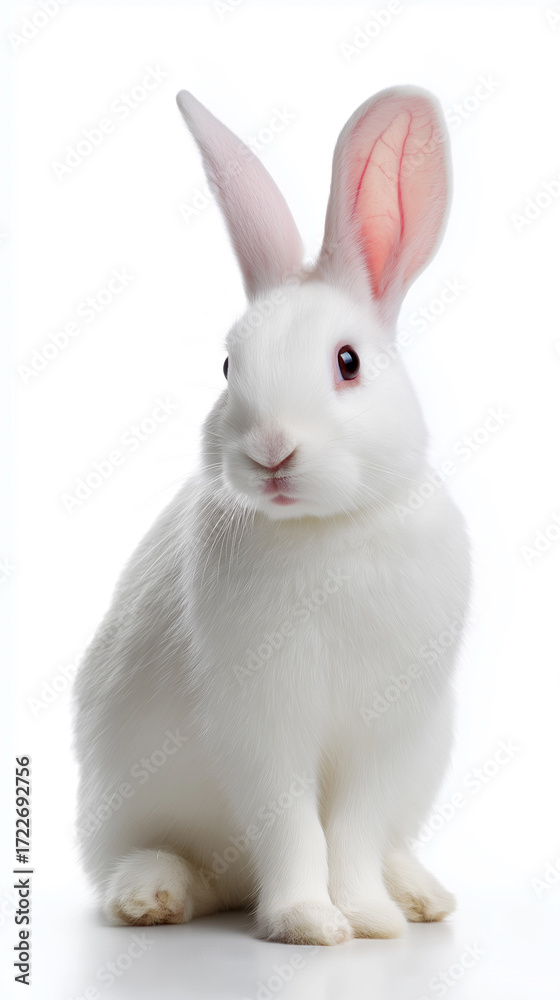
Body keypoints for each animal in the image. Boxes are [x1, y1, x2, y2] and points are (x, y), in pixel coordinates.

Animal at [73, 85, 472, 946]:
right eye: (229, 366)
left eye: (348, 363)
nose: (270, 451)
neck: (329, 527)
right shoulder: (260, 726)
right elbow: (292, 827)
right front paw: (308, 923)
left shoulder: (385, 735)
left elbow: (353, 831)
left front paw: (368, 920)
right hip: (122, 807)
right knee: (165, 861)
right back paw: (151, 897)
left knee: (389, 843)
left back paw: (421, 897)